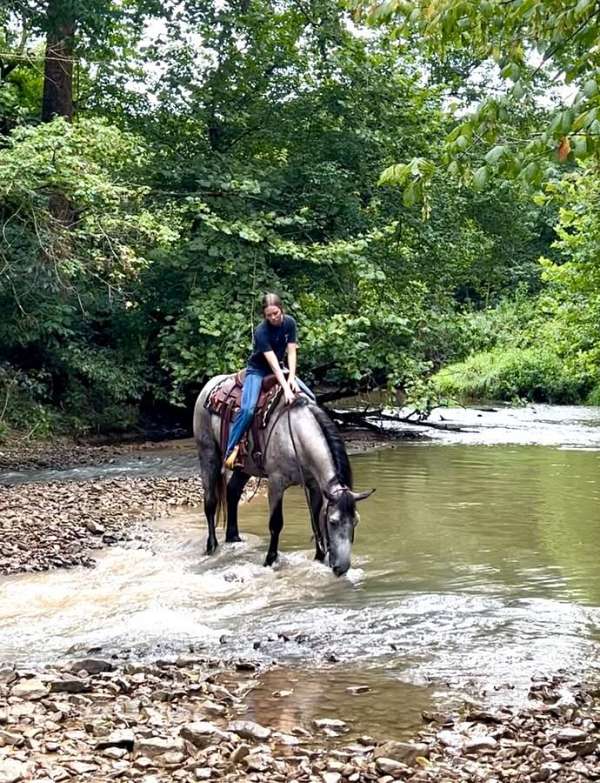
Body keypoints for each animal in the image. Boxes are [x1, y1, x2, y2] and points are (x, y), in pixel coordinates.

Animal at [192, 376, 372, 580]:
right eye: (333, 522)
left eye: (355, 521)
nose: (342, 569)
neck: (296, 436)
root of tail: (211, 384)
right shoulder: (276, 483)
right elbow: (276, 523)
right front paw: (269, 560)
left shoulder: (314, 486)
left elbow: (315, 520)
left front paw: (319, 558)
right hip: (208, 454)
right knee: (210, 502)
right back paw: (211, 546)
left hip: (244, 467)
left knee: (233, 492)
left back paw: (234, 538)